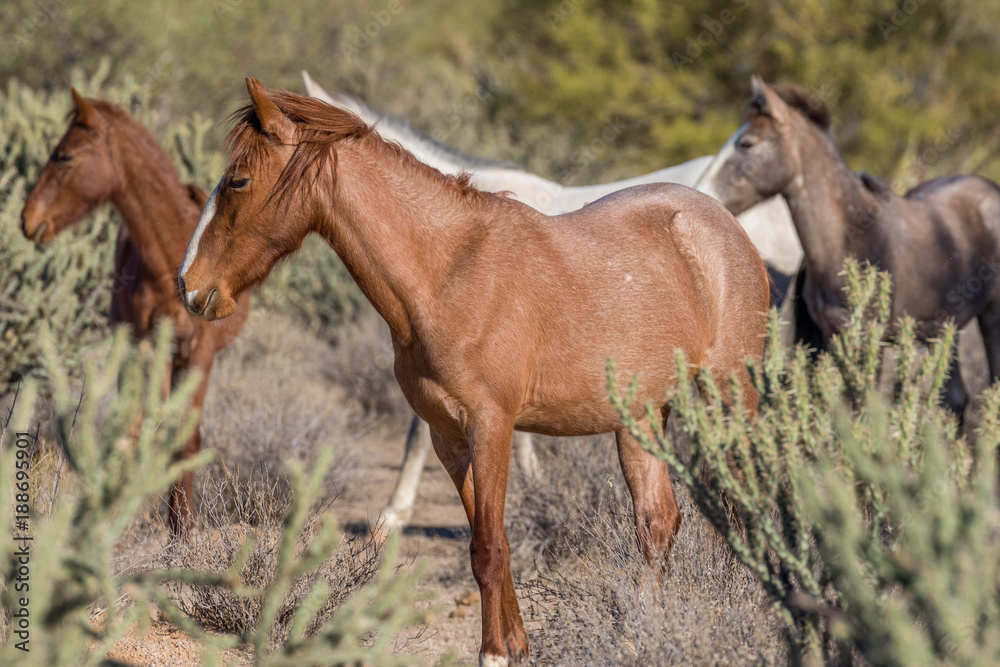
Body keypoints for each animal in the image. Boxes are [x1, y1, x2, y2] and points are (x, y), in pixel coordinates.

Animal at [21, 90, 250, 536]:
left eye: (65, 156)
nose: (27, 219)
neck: (169, 256)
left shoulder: (200, 352)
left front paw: (183, 527)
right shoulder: (145, 346)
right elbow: (143, 429)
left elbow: (187, 436)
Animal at [696, 75, 1000, 414]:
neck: (853, 241)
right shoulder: (835, 335)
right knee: (957, 398)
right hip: (948, 328)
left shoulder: (871, 339)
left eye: (747, 143)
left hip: (991, 318)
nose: (701, 193)